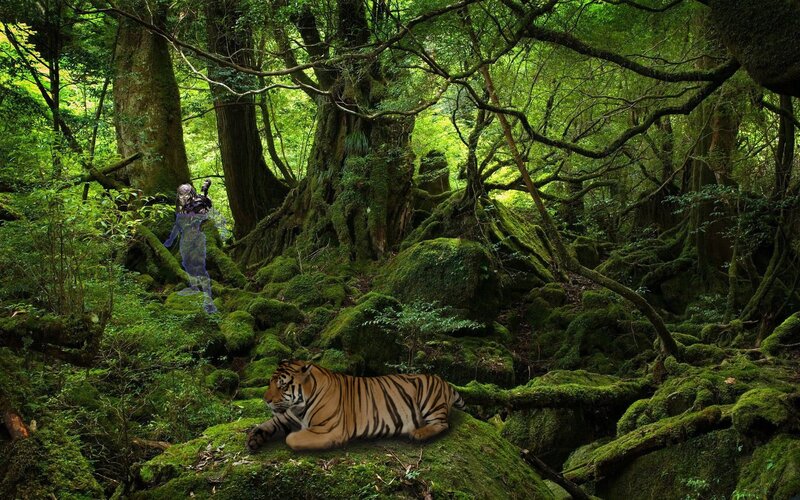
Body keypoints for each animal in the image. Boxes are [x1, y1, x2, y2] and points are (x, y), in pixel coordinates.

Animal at [246, 359, 466, 451]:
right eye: (270, 382)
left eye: (282, 385)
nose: (266, 399)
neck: (298, 406)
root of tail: (443, 380)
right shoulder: (286, 415)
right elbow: (267, 424)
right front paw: (253, 439)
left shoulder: (328, 429)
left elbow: (291, 438)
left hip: (429, 399)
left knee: (443, 423)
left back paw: (418, 433)